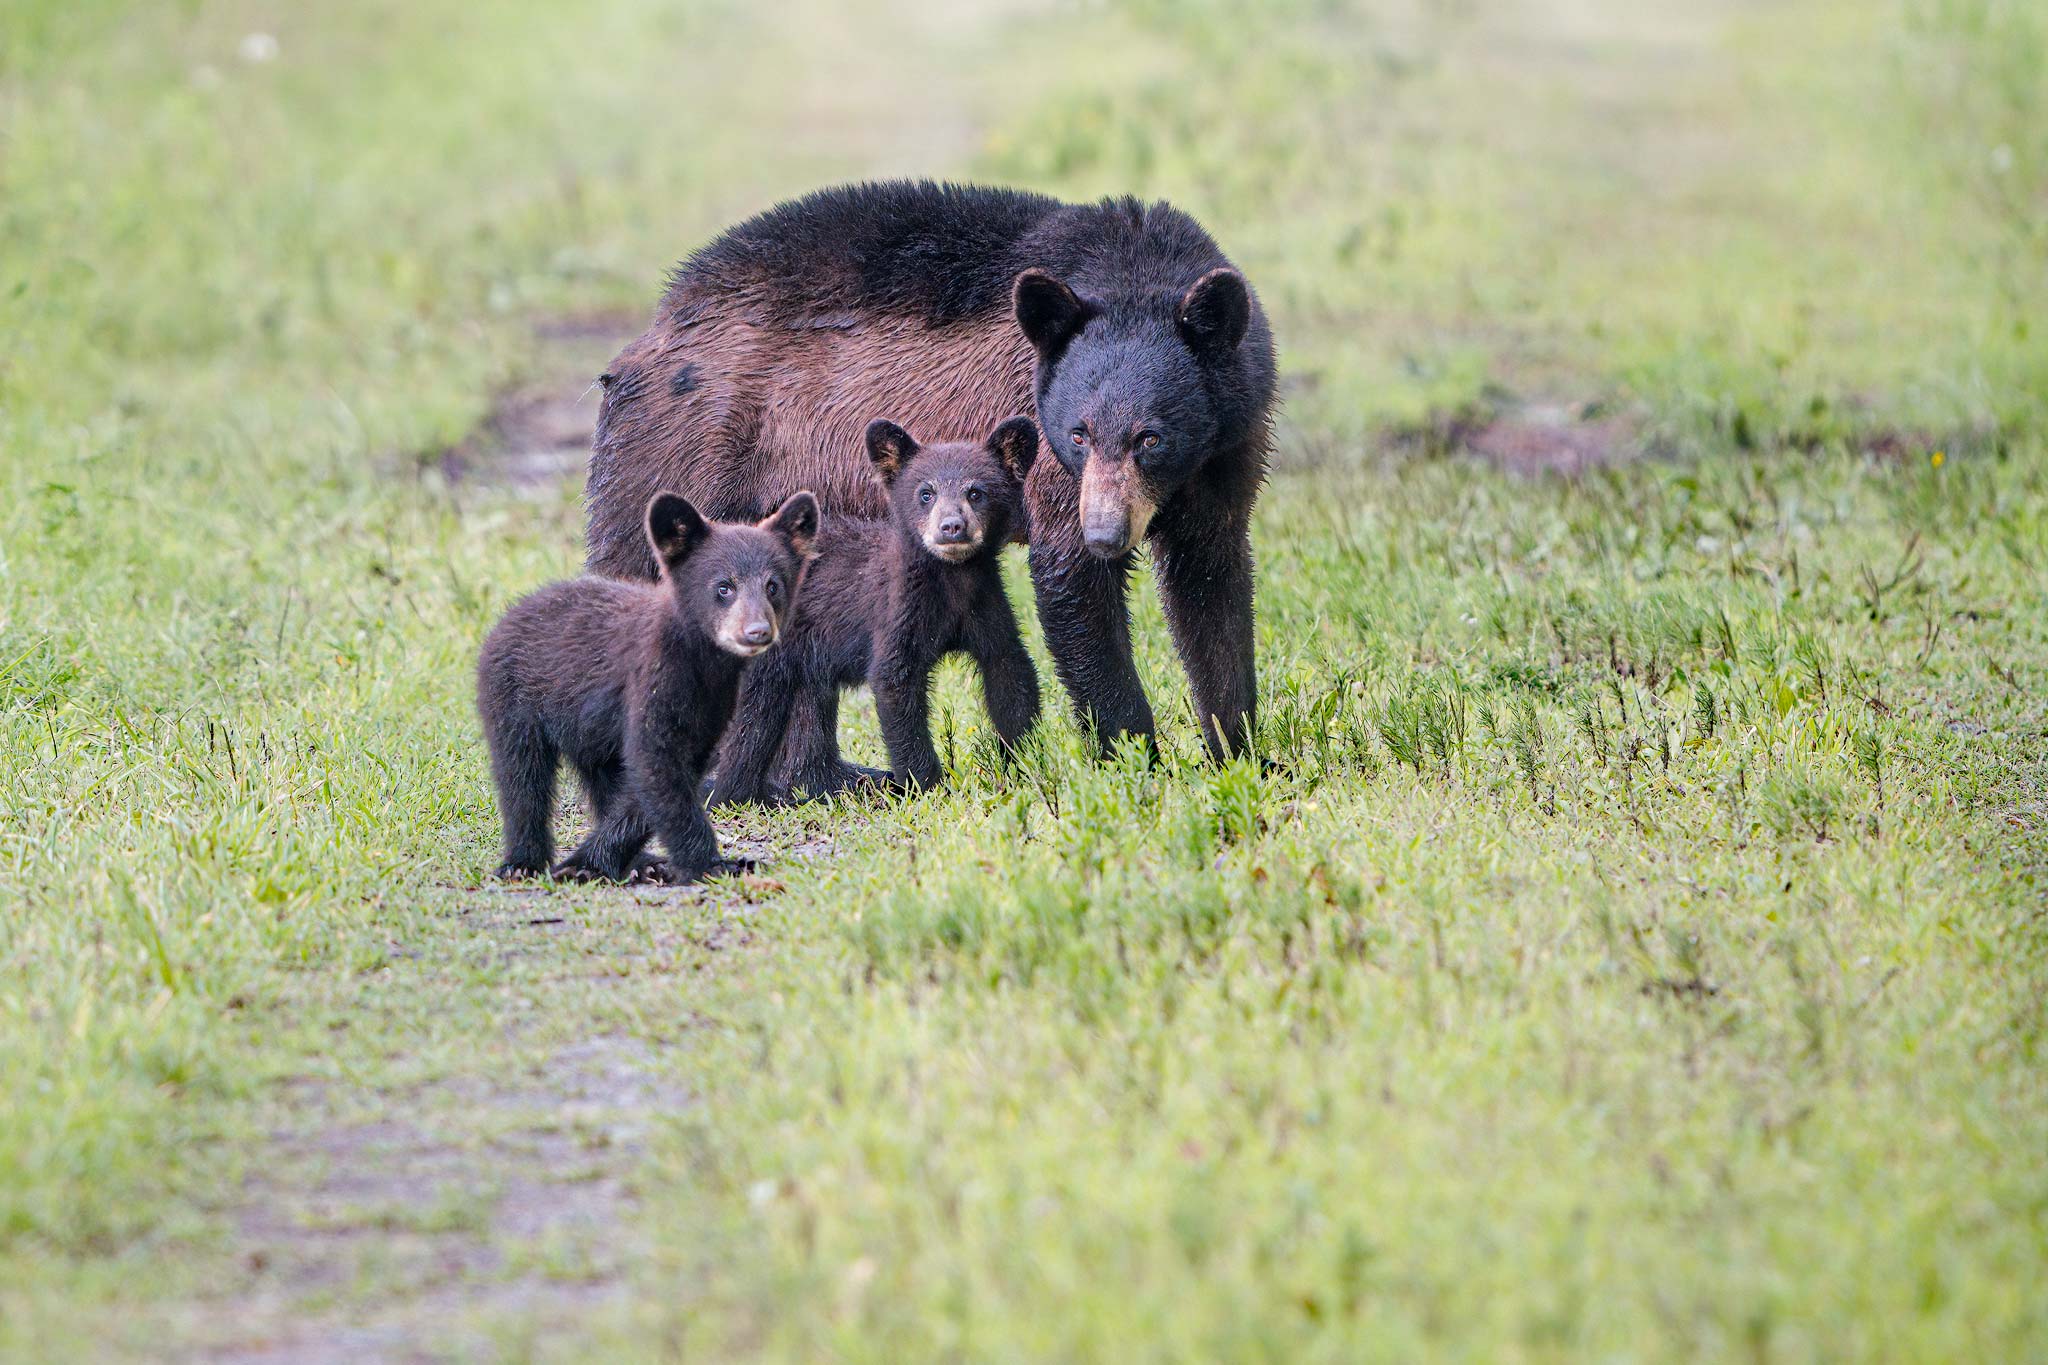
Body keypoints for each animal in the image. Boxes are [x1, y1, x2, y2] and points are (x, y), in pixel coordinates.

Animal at [476, 490, 817, 884]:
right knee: (522, 777)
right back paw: (522, 862)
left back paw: (641, 861)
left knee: (604, 779)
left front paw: (594, 861)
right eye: (724, 586)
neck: (699, 662)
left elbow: (653, 784)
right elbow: (656, 766)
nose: (757, 631)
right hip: (513, 696)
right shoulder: (650, 682)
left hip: (591, 733)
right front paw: (711, 864)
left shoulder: (711, 707)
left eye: (773, 586)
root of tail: (507, 614)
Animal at [584, 180, 1277, 766]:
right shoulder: (1049, 453)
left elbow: (1210, 584)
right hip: (682, 451)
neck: (1132, 268)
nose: (1107, 534)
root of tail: (651, 331)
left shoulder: (1227, 449)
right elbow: (1072, 580)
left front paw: (1240, 751)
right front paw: (1136, 758)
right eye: (1079, 433)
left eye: (1150, 436)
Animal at [706, 416, 1043, 806]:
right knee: (751, 721)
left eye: (976, 492)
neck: (951, 580)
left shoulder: (987, 604)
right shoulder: (896, 609)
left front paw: (1025, 763)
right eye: (925, 493)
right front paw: (929, 787)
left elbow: (1009, 670)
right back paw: (734, 794)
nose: (952, 527)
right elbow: (894, 680)